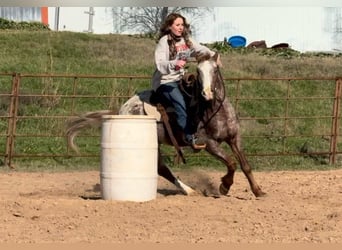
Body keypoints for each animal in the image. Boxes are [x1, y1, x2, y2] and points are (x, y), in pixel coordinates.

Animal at [65, 52, 266, 197]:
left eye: (215, 70)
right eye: (199, 72)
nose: (207, 93)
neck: (215, 110)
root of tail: (123, 109)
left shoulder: (234, 138)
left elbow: (245, 165)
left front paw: (258, 191)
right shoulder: (209, 143)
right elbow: (231, 163)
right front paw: (224, 186)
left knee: (160, 168)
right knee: (162, 168)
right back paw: (189, 190)